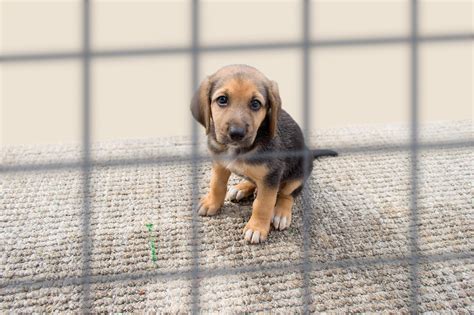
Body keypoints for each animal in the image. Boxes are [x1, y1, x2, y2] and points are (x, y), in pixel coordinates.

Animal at [191, 64, 336, 244]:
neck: (239, 149)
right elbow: (216, 185)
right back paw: (242, 188)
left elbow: (263, 204)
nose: (236, 133)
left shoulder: (272, 175)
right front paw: (212, 203)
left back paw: (281, 213)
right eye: (222, 100)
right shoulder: (219, 164)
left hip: (299, 172)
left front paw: (257, 228)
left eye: (255, 104)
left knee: (288, 194)